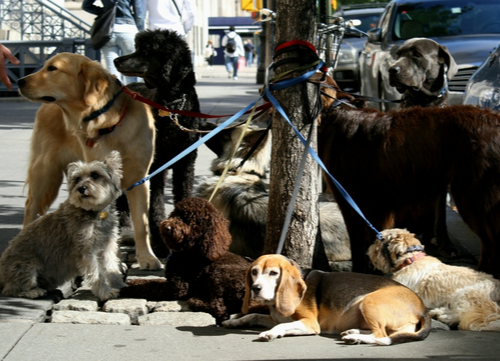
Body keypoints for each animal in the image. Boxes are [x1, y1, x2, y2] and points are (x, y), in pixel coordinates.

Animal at [0, 150, 127, 300]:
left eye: (95, 175)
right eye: (77, 179)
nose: (82, 188)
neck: (95, 212)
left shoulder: (107, 246)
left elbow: (112, 267)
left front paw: (120, 285)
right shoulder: (86, 251)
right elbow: (96, 274)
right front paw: (105, 292)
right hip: (26, 267)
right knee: (10, 290)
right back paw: (33, 291)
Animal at [223, 252, 430, 344]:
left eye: (273, 273)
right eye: (254, 272)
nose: (256, 289)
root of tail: (423, 307)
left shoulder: (310, 324)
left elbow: (280, 326)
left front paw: (271, 333)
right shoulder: (275, 318)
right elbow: (254, 316)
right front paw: (235, 321)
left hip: (369, 301)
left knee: (381, 335)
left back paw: (355, 337)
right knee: (384, 333)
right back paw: (352, 332)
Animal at [368, 229, 500, 330]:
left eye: (378, 241)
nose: (369, 249)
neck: (411, 260)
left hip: (467, 294)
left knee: (462, 316)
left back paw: (443, 315)